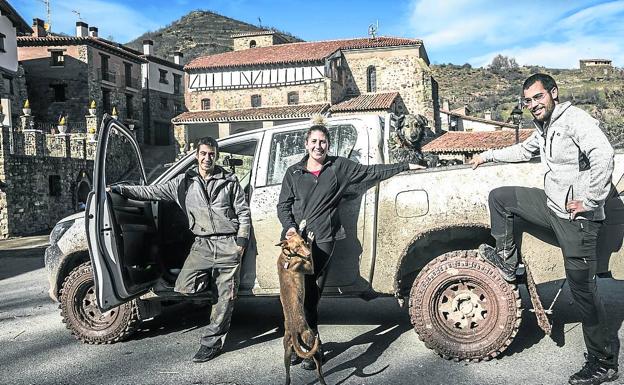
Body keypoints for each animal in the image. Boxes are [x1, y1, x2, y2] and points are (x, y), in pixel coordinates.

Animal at [276, 231, 326, 384]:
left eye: (302, 242)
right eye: (297, 247)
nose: (308, 253)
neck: (287, 256)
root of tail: (294, 331)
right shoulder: (309, 268)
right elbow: (311, 265)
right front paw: (311, 237)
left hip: (286, 351)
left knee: (288, 375)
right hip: (310, 339)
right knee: (319, 372)